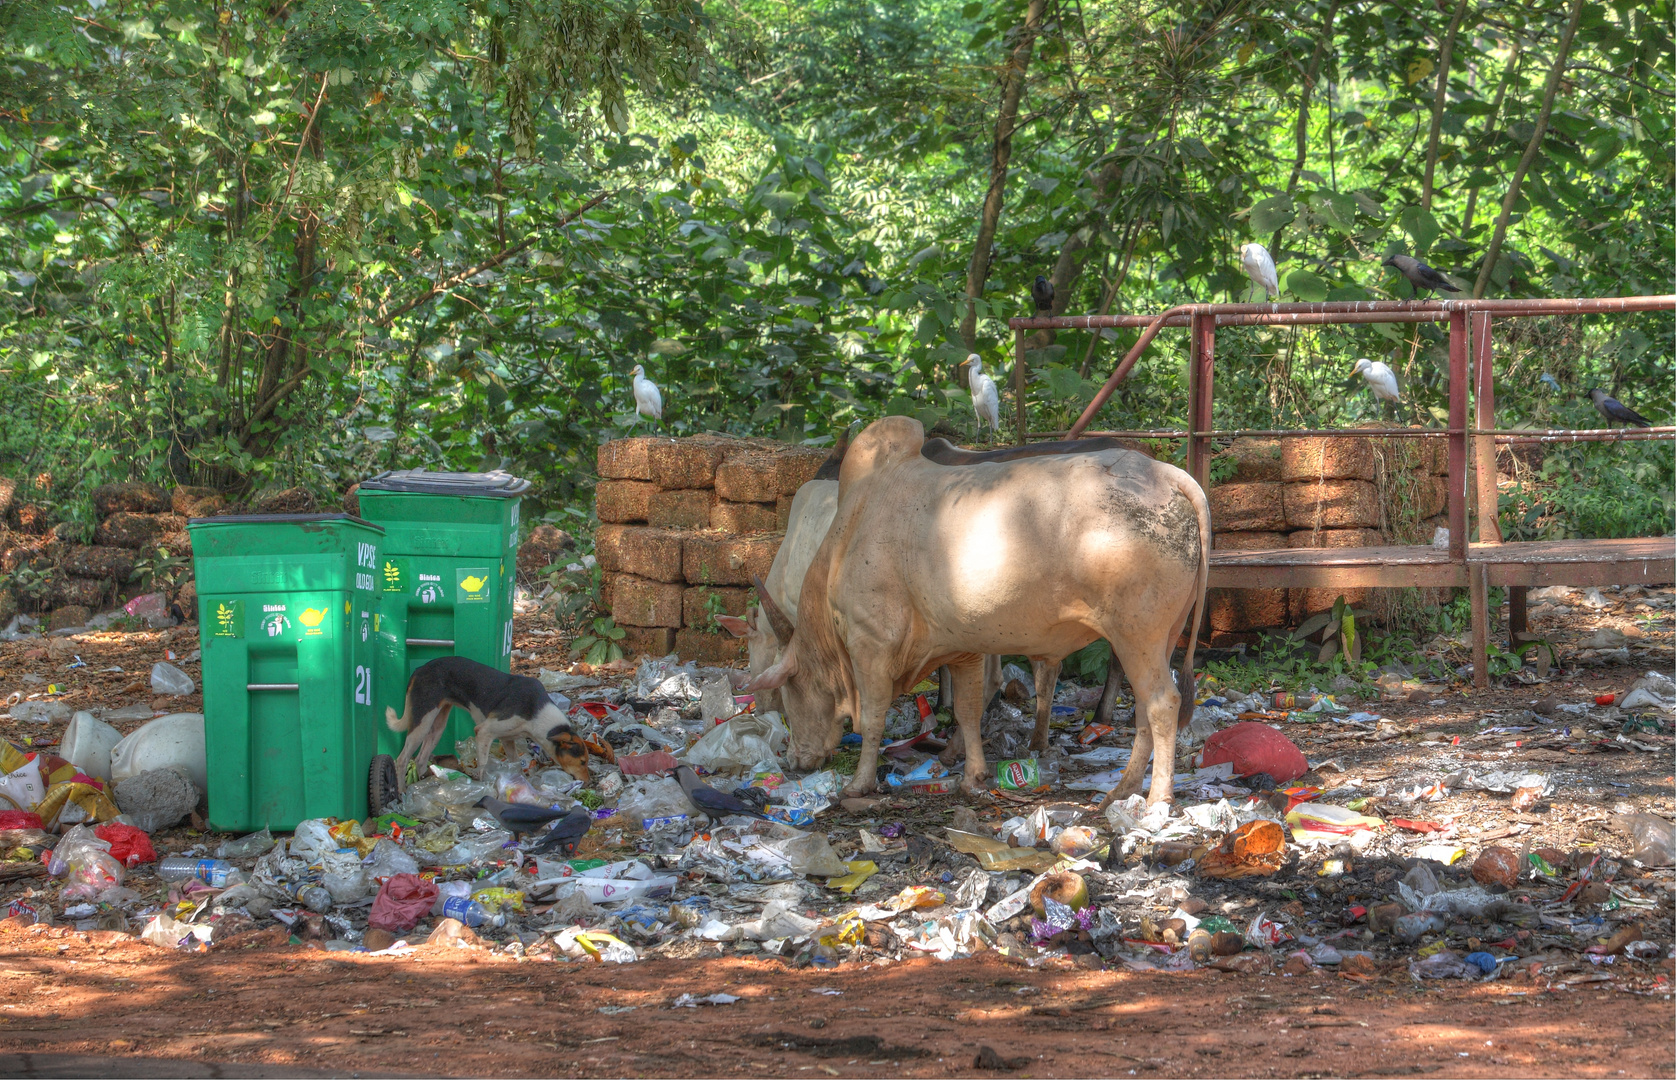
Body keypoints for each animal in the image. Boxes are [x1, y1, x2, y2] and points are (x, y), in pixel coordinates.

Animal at [385, 654, 610, 788]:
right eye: (582, 762)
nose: (589, 783)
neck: (537, 714)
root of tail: (419, 669)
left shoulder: (507, 739)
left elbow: (515, 764)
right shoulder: (484, 732)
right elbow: (483, 764)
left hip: (437, 725)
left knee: (421, 759)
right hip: (422, 722)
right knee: (402, 759)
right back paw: (401, 794)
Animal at [747, 417, 1206, 804]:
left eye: (788, 691)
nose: (794, 760)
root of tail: (1168, 475)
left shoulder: (870, 645)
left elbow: (874, 719)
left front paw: (860, 784)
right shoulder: (962, 648)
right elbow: (968, 711)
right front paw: (974, 776)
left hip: (1137, 635)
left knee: (1162, 704)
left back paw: (1156, 800)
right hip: (1163, 636)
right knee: (1143, 709)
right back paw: (1122, 790)